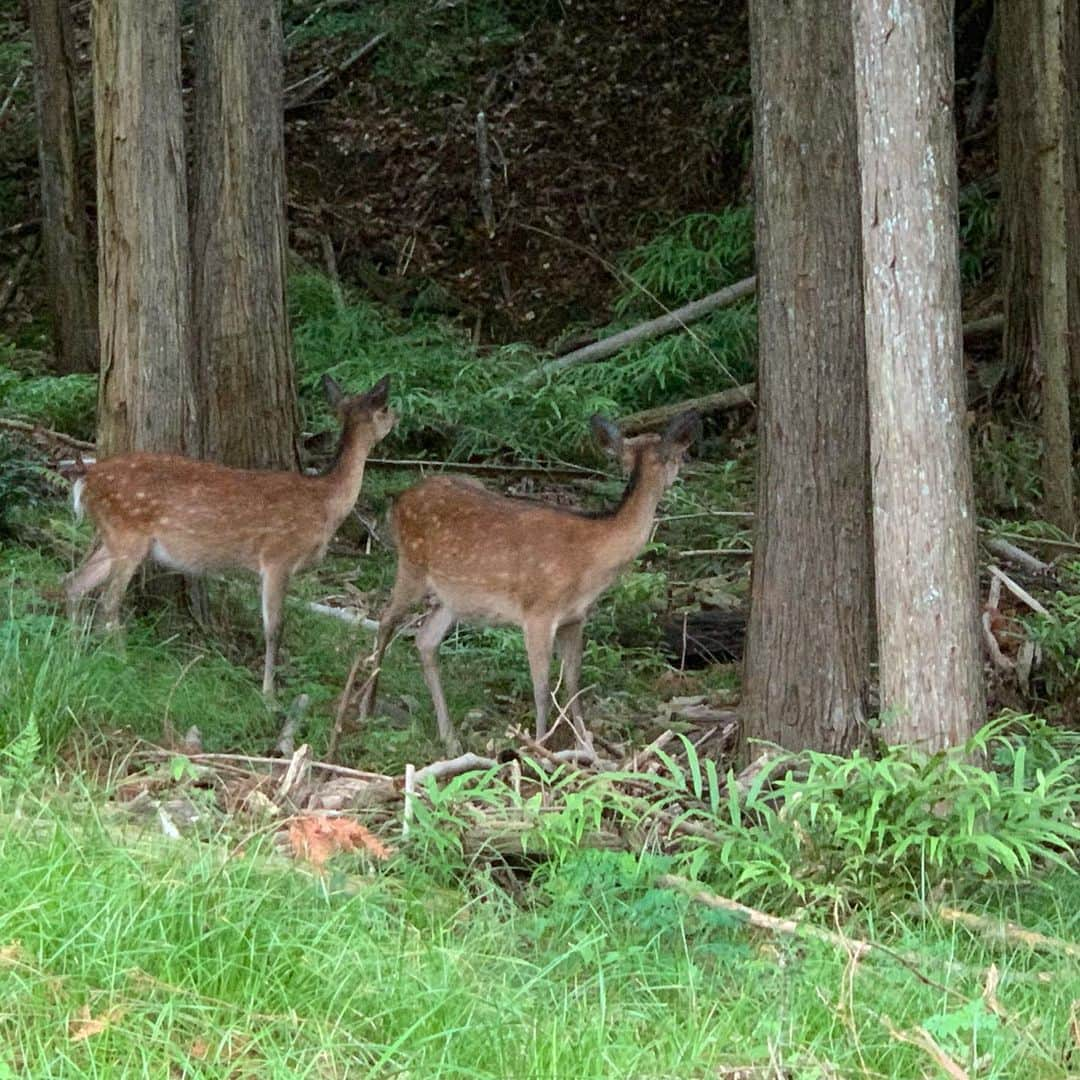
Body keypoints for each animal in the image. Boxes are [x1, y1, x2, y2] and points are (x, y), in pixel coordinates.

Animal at [63, 371, 395, 695]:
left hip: (113, 537)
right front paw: (269, 695)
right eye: (386, 408)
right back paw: (121, 662)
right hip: (128, 532)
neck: (326, 502)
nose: (398, 417)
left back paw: (76, 650)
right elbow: (274, 628)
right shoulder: (278, 557)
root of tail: (87, 478)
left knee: (73, 583)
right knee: (108, 601)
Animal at [349, 408, 695, 756]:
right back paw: (366, 709)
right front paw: (540, 748)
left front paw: (586, 747)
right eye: (678, 455)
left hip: (454, 596)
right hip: (412, 566)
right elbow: (542, 688)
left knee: (425, 640)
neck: (591, 559)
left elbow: (573, 683)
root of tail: (397, 501)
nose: (682, 473)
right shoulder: (538, 612)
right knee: (386, 619)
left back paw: (450, 737)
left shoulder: (575, 618)